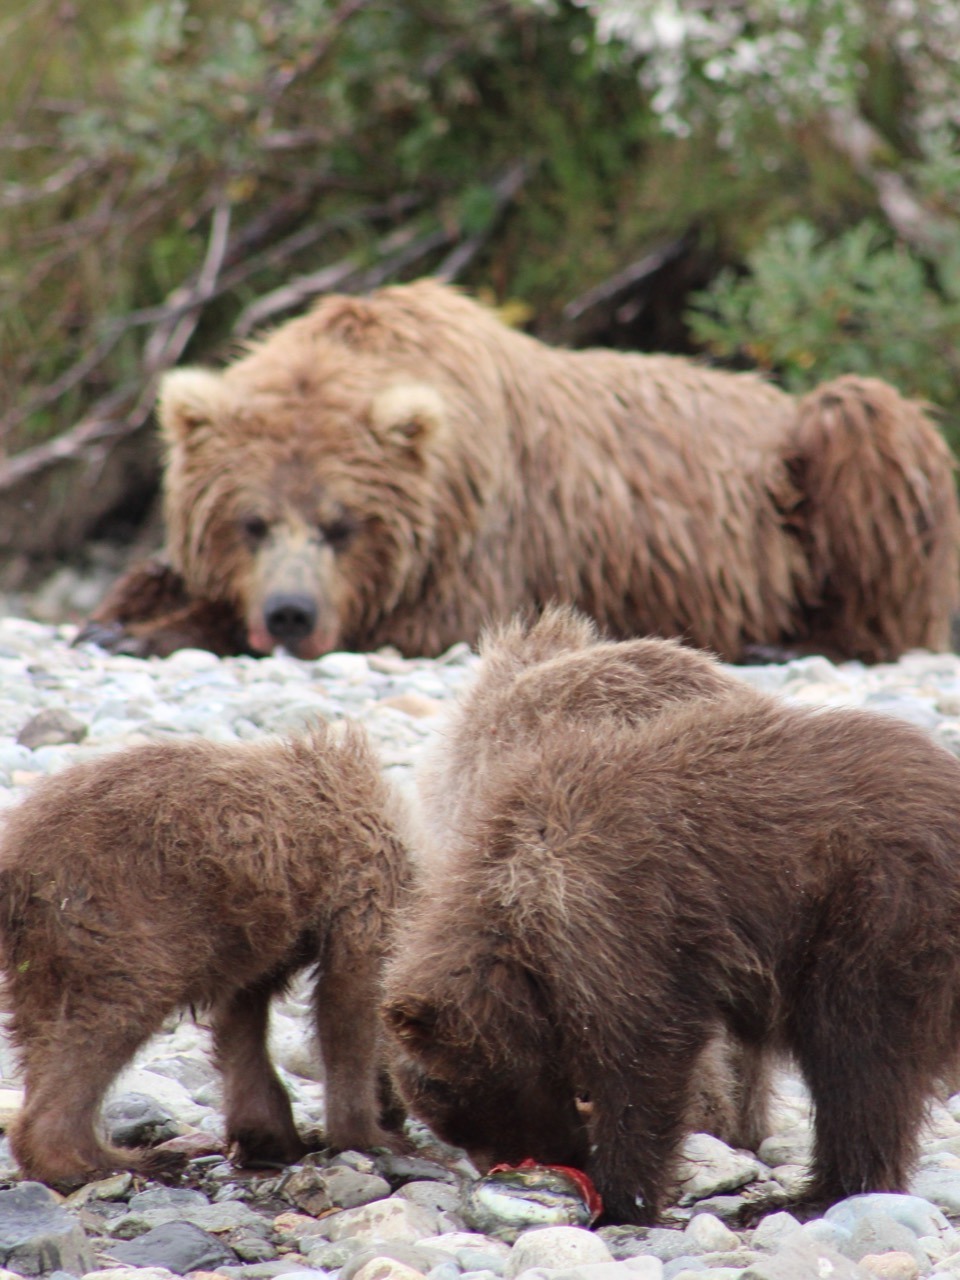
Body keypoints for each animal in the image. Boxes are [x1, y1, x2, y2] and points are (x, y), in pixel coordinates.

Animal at [0, 722, 411, 1188]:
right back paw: (105, 1160)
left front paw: (267, 1135)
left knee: (41, 1030)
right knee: (108, 1019)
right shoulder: (364, 884)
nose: (398, 1115)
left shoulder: (257, 929)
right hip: (117, 909)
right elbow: (350, 1005)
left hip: (43, 948)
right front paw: (369, 1134)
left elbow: (243, 1018)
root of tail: (17, 856)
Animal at [78, 278, 959, 665]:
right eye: (251, 522)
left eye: (342, 525)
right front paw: (119, 613)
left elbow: (424, 620)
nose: (290, 613)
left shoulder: (482, 543)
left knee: (865, 426)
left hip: (807, 465)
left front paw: (156, 630)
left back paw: (792, 642)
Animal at [383, 656, 960, 1225]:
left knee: (858, 1055)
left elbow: (645, 1060)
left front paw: (624, 1196)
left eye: (467, 1100)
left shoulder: (618, 918)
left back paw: (811, 1195)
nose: (505, 1166)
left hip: (877, 908)